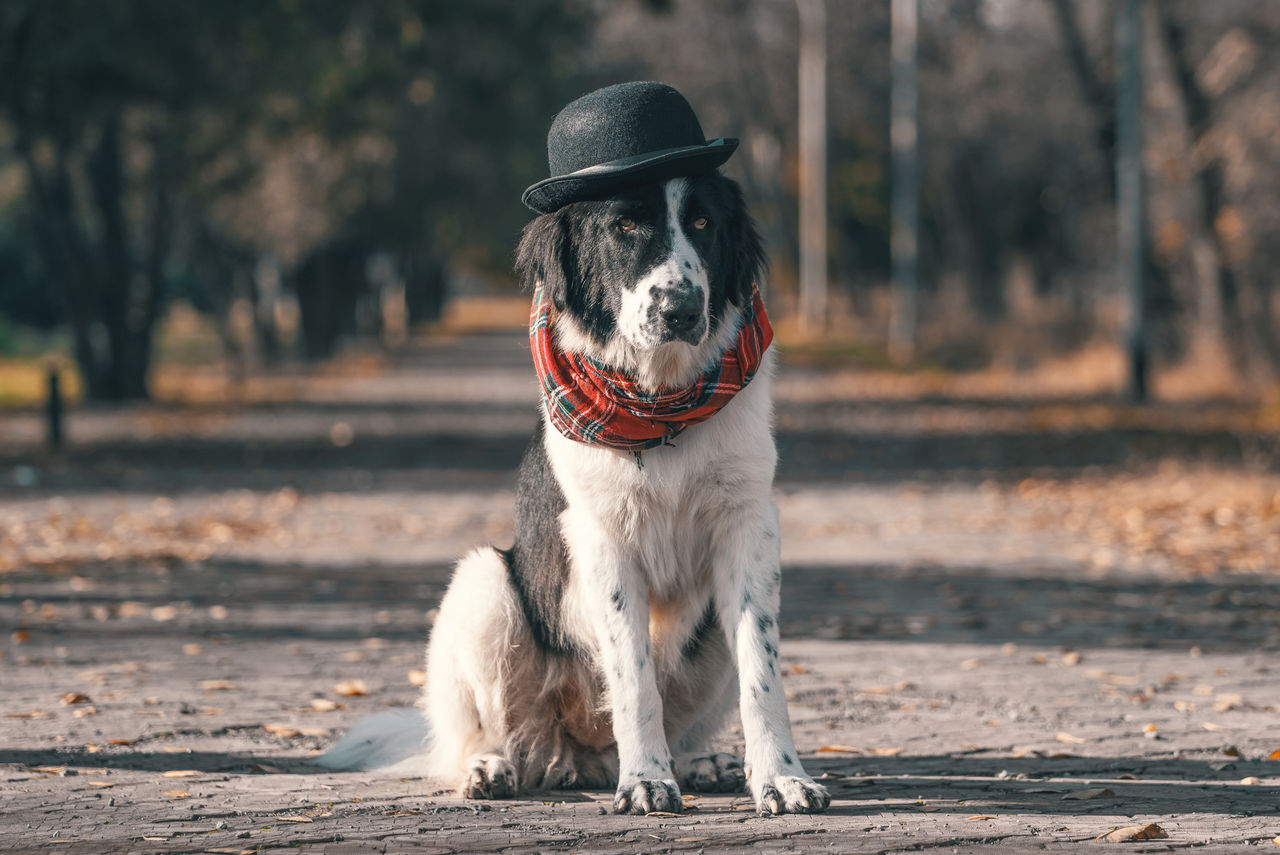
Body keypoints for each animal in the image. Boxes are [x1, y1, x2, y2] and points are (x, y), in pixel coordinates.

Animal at [320, 83, 829, 819]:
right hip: (483, 582)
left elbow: (761, 671)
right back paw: (492, 767)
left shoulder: (749, 526)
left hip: (703, 631)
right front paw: (646, 781)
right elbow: (634, 675)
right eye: (626, 227)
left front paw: (781, 778)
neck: (659, 406)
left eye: (704, 224)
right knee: (476, 736)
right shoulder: (601, 540)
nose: (681, 309)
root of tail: (578, 758)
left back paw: (700, 762)